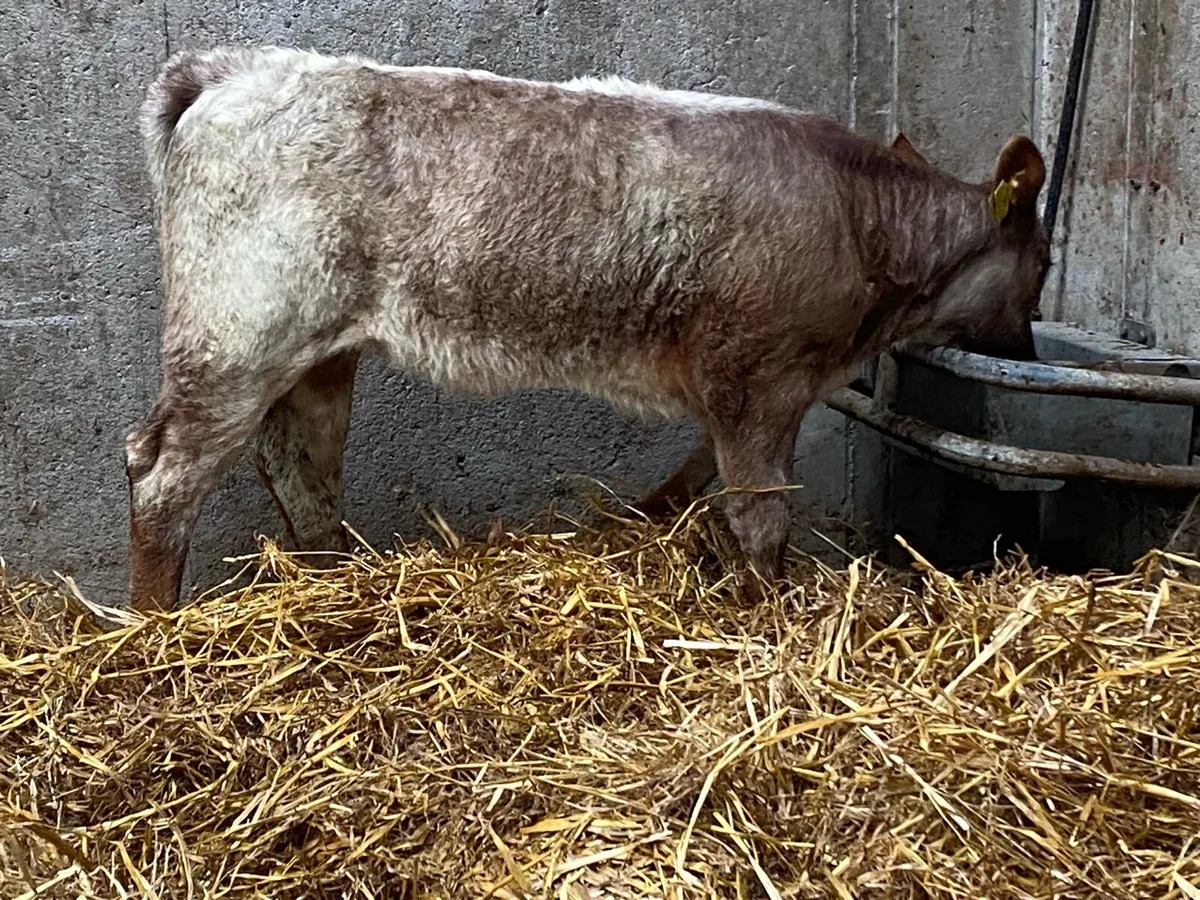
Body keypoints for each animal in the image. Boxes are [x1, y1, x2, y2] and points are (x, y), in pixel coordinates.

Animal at [124, 46, 1050, 612]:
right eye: (1042, 267)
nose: (1026, 351)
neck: (863, 222)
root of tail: (236, 67)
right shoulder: (759, 377)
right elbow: (759, 515)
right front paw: (768, 616)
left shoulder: (733, 387)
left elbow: (701, 476)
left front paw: (648, 519)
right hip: (235, 336)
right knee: (162, 476)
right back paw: (153, 631)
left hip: (319, 349)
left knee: (301, 467)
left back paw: (332, 586)